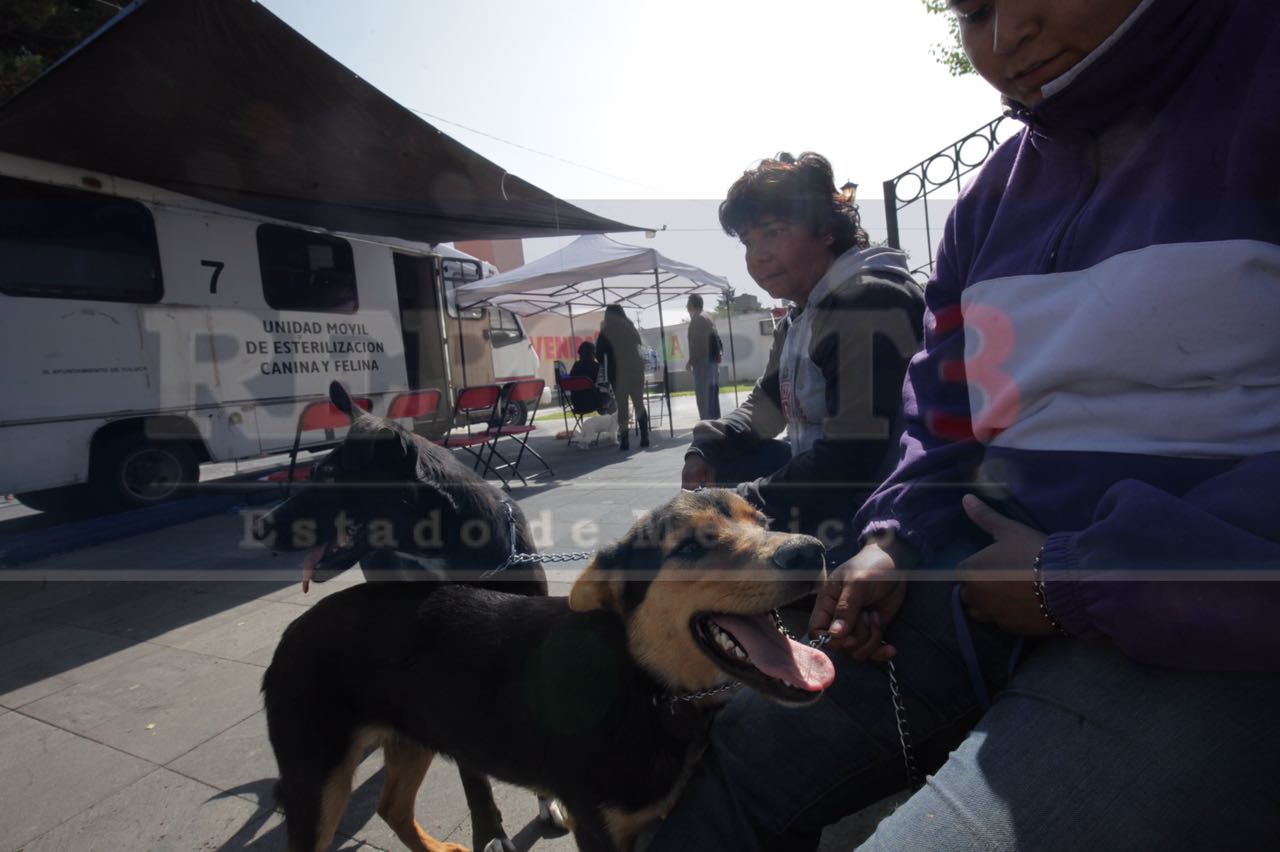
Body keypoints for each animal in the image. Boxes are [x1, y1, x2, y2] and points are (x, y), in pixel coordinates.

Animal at [264, 483, 834, 849]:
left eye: (764, 523)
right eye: (692, 546)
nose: (812, 549)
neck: (646, 688)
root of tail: (292, 631)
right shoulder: (600, 830)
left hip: (411, 738)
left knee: (392, 807)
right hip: (318, 781)